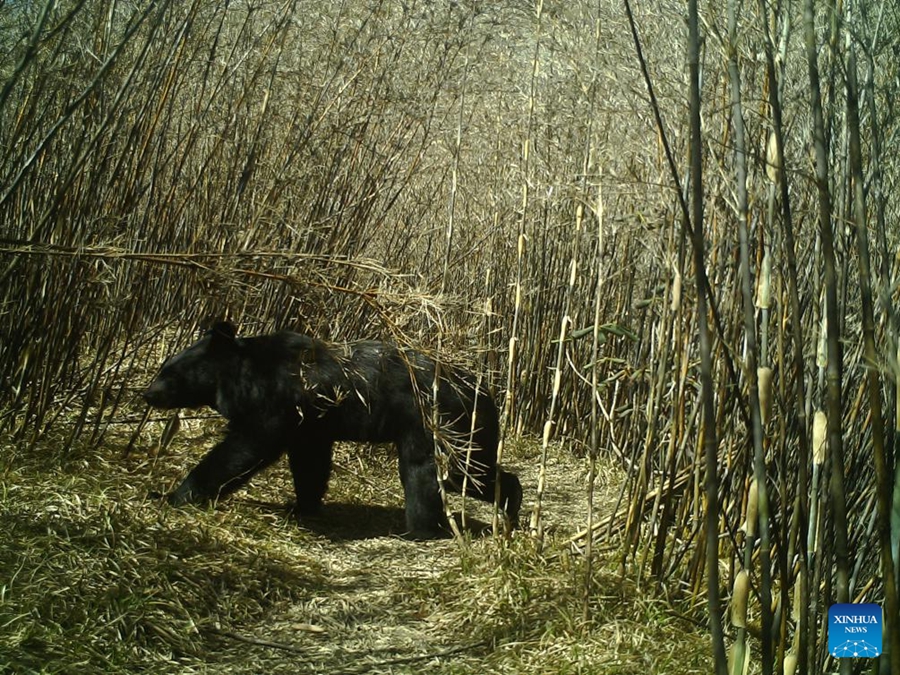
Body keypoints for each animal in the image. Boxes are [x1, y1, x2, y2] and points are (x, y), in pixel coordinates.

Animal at [141, 320, 520, 540]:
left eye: (168, 372)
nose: (146, 393)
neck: (239, 375)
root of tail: (485, 392)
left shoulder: (274, 401)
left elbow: (247, 446)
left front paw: (174, 495)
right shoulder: (310, 422)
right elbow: (310, 462)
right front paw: (302, 505)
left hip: (441, 425)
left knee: (440, 473)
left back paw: (422, 530)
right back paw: (508, 512)